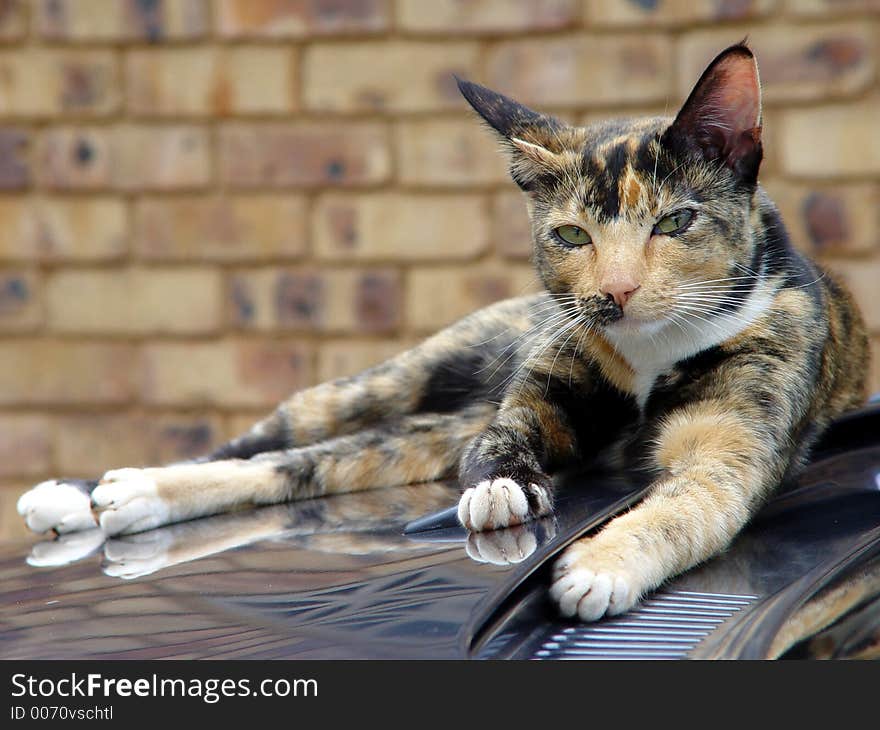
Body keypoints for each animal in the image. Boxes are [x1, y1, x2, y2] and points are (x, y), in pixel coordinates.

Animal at [18, 41, 868, 620]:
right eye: (571, 237)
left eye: (676, 222)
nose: (615, 293)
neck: (651, 353)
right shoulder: (542, 386)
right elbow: (508, 434)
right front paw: (498, 488)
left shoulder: (740, 434)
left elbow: (692, 503)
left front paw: (602, 564)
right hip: (413, 376)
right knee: (275, 439)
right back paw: (96, 492)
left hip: (418, 434)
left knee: (298, 469)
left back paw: (131, 499)